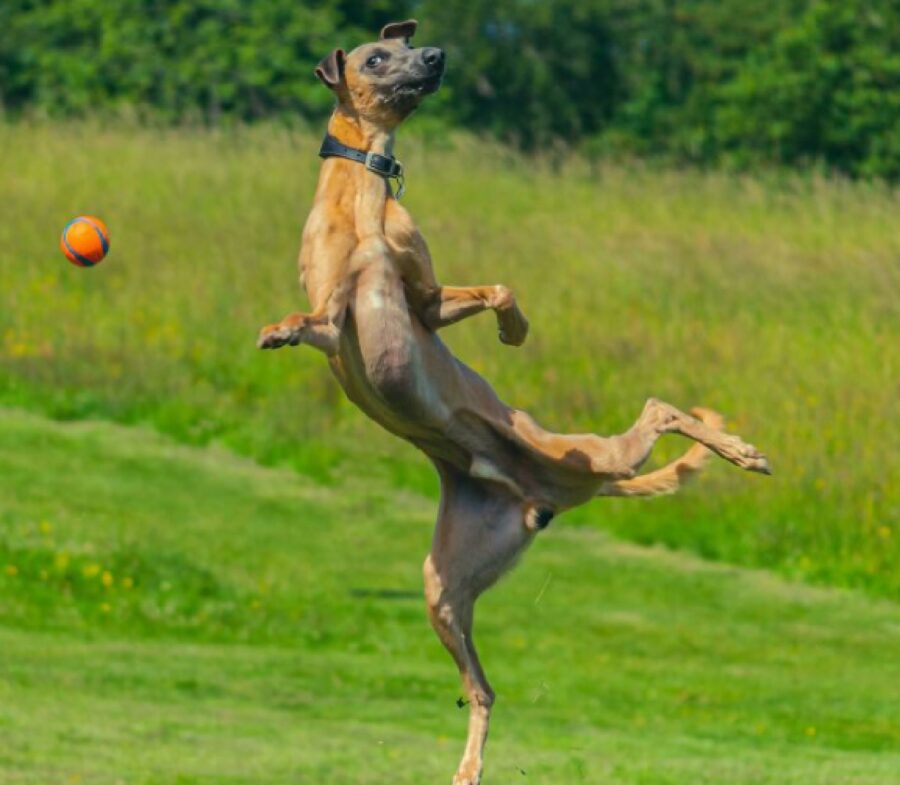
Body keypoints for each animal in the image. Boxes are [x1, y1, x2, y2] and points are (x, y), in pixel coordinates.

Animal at [256, 18, 768, 784]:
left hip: (584, 462)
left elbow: (496, 288)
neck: (366, 195)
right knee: (482, 688)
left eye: (404, 45)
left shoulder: (423, 303)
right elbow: (309, 318)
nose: (434, 55)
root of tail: (532, 494)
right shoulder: (335, 319)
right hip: (446, 586)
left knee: (660, 409)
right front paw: (276, 329)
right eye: (377, 58)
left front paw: (514, 327)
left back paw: (741, 451)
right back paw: (467, 767)